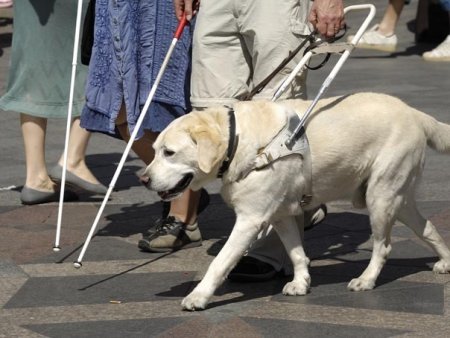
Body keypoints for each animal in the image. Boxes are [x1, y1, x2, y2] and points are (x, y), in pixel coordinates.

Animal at [142, 92, 450, 308]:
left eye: (169, 152)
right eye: (155, 150)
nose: (144, 179)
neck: (239, 141)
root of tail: (414, 112)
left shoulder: (251, 219)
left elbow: (220, 261)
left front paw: (199, 296)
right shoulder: (282, 214)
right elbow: (296, 252)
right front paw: (301, 283)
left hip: (381, 197)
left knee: (383, 246)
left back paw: (366, 279)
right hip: (398, 198)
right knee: (428, 228)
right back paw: (445, 262)